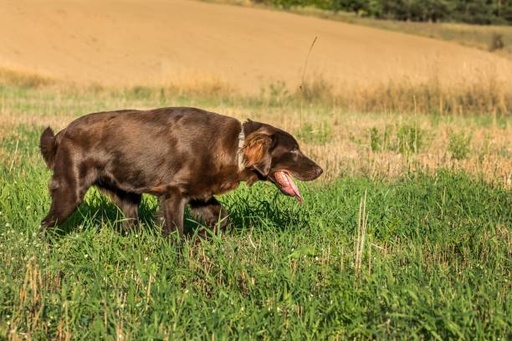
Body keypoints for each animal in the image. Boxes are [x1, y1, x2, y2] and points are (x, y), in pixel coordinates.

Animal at [40, 107, 322, 235]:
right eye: (294, 150)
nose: (320, 170)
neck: (235, 146)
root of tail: (63, 132)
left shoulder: (200, 196)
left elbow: (223, 217)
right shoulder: (174, 194)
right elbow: (176, 233)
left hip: (128, 197)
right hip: (70, 191)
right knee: (44, 225)